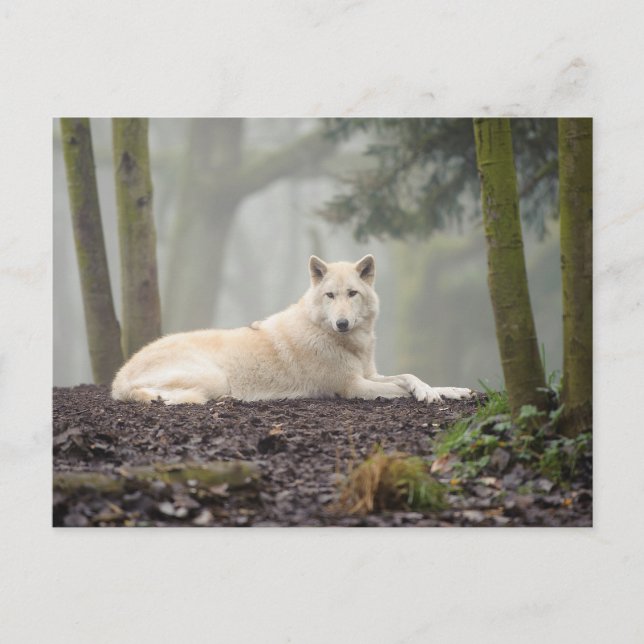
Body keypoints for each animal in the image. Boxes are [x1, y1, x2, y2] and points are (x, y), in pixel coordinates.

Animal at [112, 254, 474, 405]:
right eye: (330, 296)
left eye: (352, 294)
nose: (342, 323)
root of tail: (118, 377)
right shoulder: (353, 386)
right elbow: (399, 388)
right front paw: (425, 394)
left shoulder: (369, 375)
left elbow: (411, 377)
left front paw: (447, 391)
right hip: (214, 377)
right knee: (156, 395)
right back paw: (163, 398)